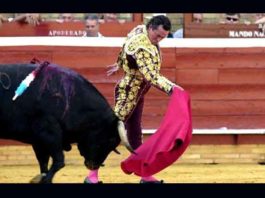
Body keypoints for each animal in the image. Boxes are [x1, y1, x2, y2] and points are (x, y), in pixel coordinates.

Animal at [0, 62, 132, 183]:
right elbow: (59, 161)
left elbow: (43, 162)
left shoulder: (38, 140)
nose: (94, 165)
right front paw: (44, 180)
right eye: (110, 140)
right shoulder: (48, 134)